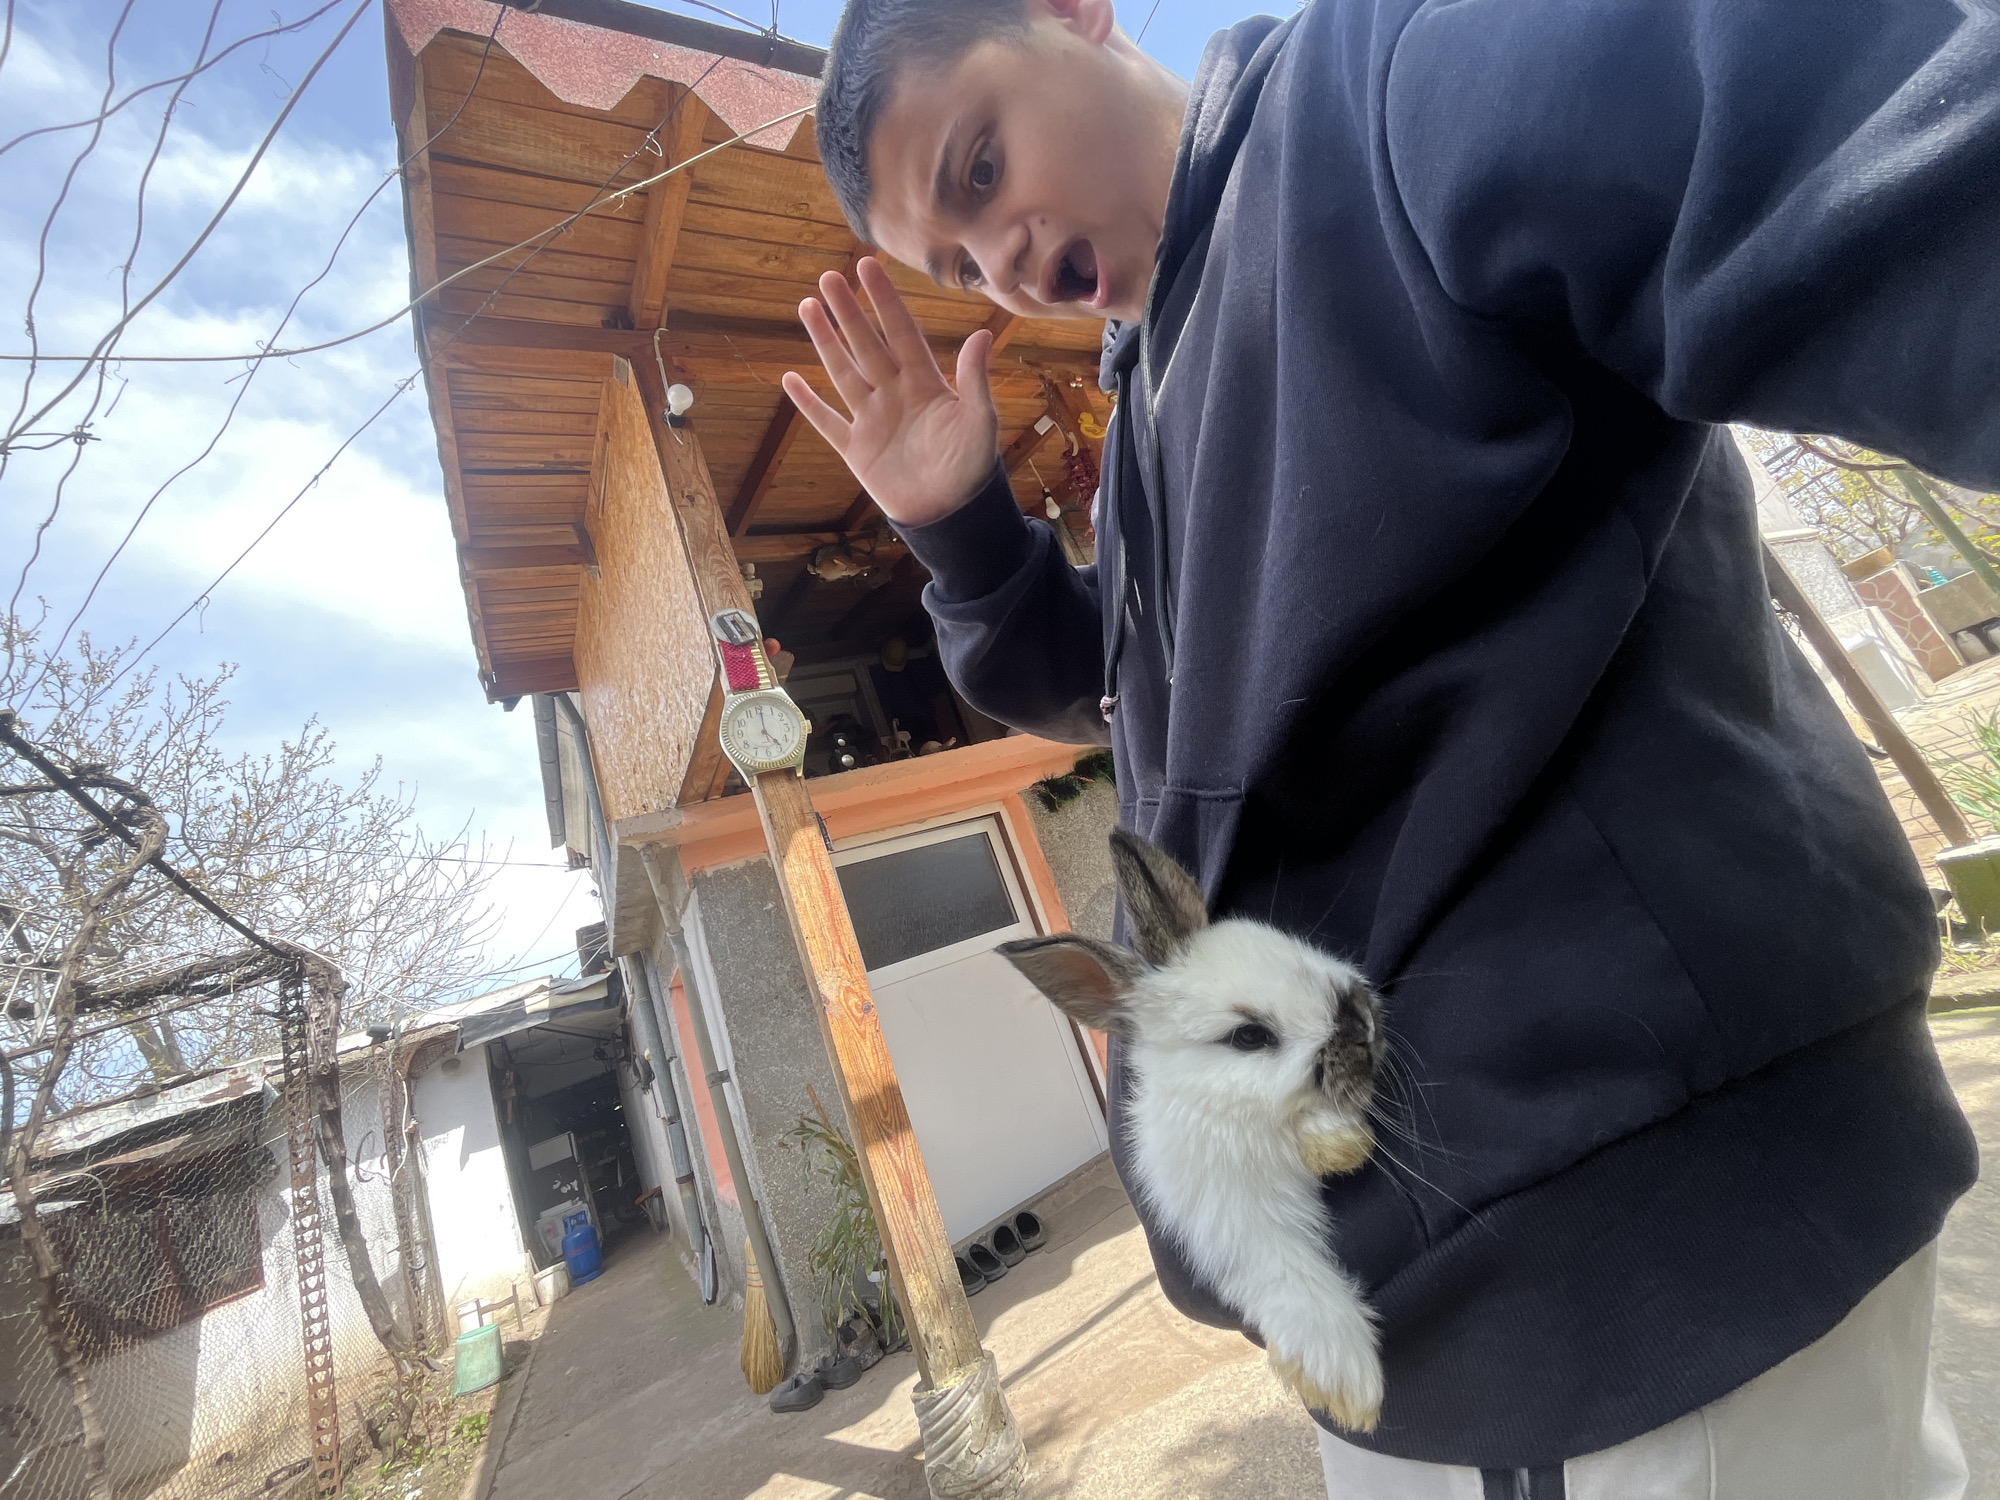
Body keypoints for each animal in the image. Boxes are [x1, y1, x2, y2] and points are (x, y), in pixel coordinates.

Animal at [998, 827, 1387, 1431]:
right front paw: (1342, 1379)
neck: (1231, 1111)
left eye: (1299, 952)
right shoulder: (1227, 1218)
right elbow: (1284, 1272)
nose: (1363, 1024)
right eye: (1249, 1036)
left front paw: (1340, 1146)